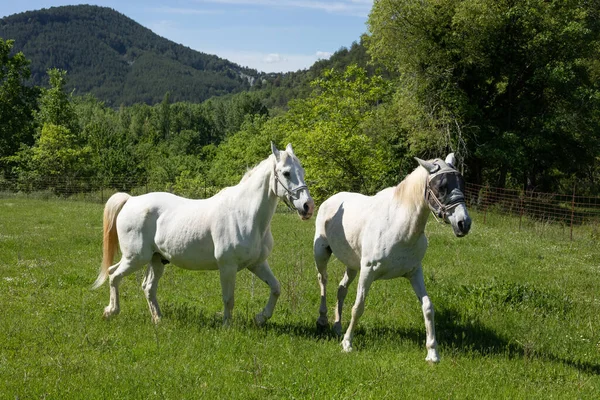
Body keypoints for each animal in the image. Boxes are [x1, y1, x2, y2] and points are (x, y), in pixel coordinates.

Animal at [92, 142, 314, 326]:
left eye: (302, 170)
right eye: (286, 173)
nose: (308, 206)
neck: (245, 214)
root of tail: (130, 200)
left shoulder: (257, 264)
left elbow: (276, 288)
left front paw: (260, 318)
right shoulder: (227, 266)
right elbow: (228, 298)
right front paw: (227, 327)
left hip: (156, 259)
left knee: (147, 287)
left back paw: (158, 319)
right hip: (135, 257)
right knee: (114, 275)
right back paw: (111, 311)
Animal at [312, 153, 472, 362]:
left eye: (462, 183)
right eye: (441, 186)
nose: (464, 223)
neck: (399, 226)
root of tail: (331, 199)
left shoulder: (414, 272)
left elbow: (428, 307)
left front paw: (432, 353)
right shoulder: (368, 271)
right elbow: (358, 307)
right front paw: (347, 344)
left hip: (352, 265)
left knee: (341, 289)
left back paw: (337, 326)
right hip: (321, 253)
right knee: (323, 280)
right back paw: (323, 320)